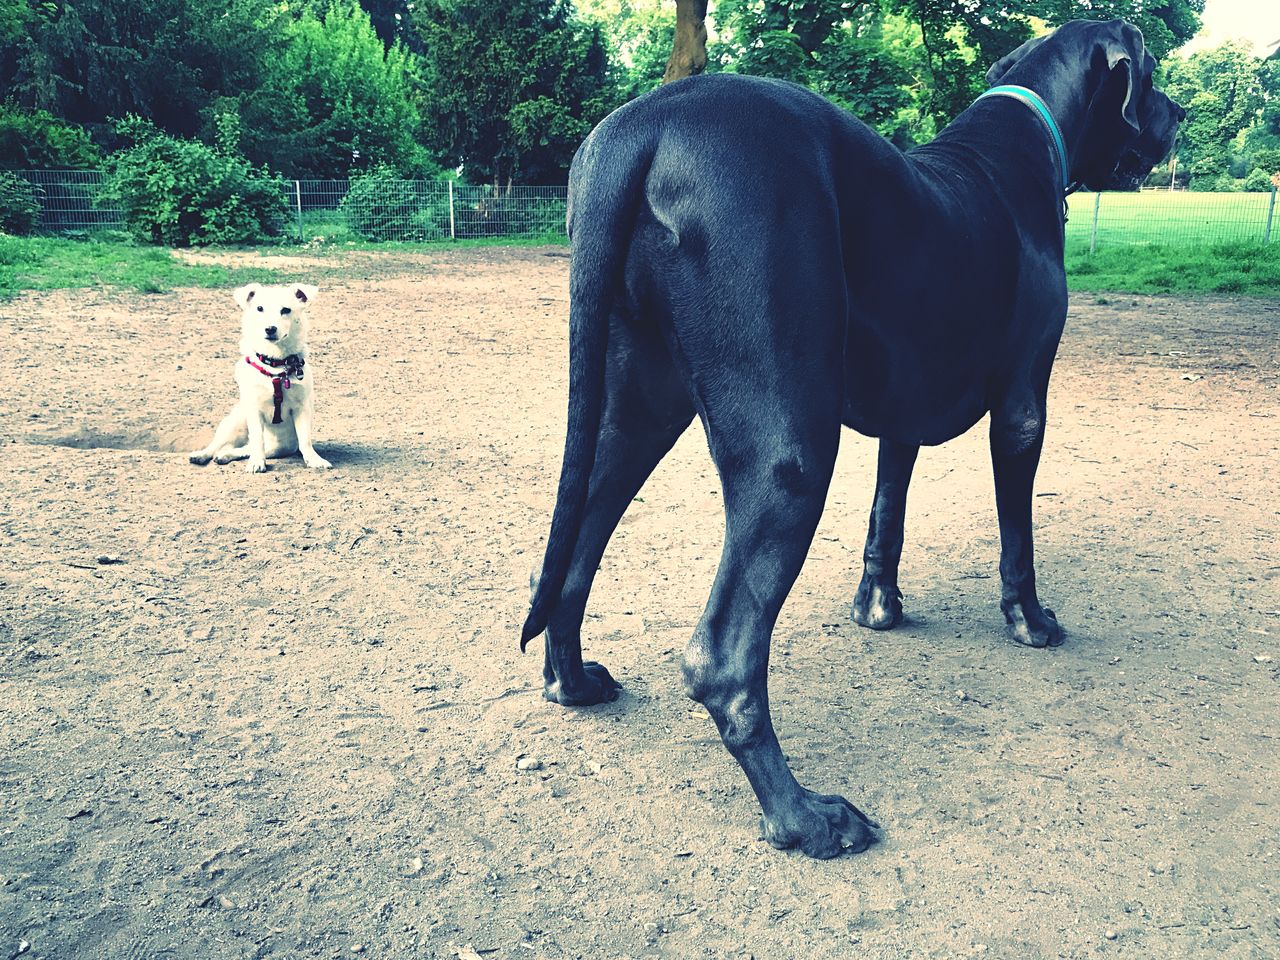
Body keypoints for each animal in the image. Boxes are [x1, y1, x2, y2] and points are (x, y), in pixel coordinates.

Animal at [189, 281, 332, 473]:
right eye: (259, 308)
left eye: (286, 310)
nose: (270, 328)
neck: (275, 366)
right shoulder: (254, 410)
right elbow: (257, 439)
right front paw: (257, 462)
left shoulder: (301, 409)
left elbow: (305, 440)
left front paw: (314, 460)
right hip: (235, 422)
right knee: (220, 444)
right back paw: (202, 455)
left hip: (278, 447)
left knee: (242, 448)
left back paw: (225, 455)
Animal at [524, 18, 1182, 860]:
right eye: (1153, 78)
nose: (1179, 117)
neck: (1020, 139)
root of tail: (647, 126)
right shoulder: (1024, 404)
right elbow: (1018, 536)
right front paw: (1030, 622)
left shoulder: (901, 407)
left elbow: (886, 513)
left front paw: (879, 606)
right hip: (790, 452)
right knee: (722, 659)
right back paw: (805, 817)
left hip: (634, 413)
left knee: (571, 561)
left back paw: (573, 683)